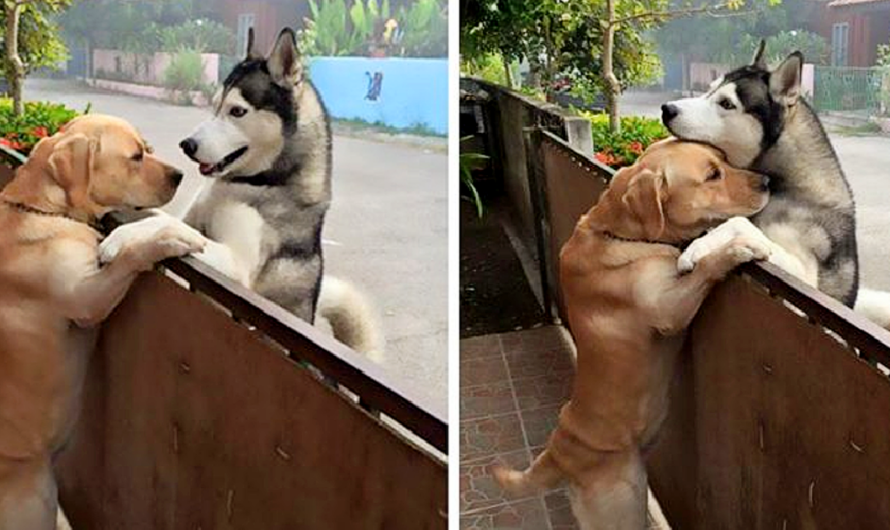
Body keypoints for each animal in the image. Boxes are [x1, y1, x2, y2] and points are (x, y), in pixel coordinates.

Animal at [496, 40, 888, 524]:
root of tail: (557, 452)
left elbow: (738, 225)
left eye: (727, 103)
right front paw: (705, 247)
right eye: (709, 88)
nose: (667, 108)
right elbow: (734, 226)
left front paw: (701, 249)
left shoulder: (799, 271)